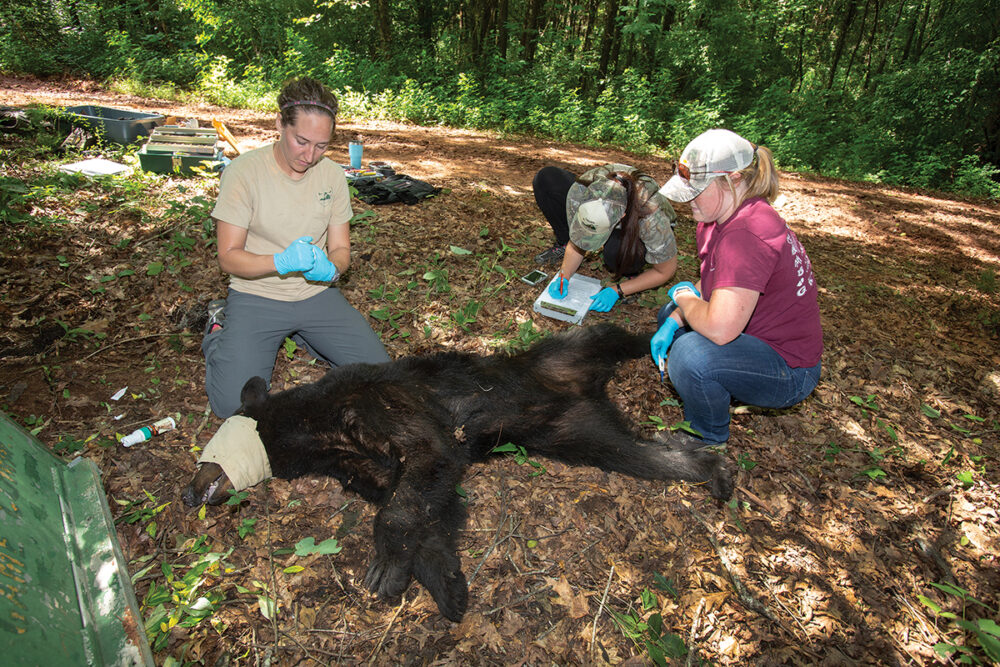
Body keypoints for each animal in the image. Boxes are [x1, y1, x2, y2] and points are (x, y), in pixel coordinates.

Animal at [182, 323, 733, 622]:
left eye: (207, 454)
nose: (188, 493)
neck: (318, 430)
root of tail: (581, 386)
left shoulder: (381, 405)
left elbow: (427, 462)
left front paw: (386, 565)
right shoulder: (361, 463)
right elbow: (427, 503)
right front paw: (445, 583)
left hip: (560, 352)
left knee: (609, 335)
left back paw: (667, 333)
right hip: (573, 430)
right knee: (630, 453)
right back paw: (708, 467)